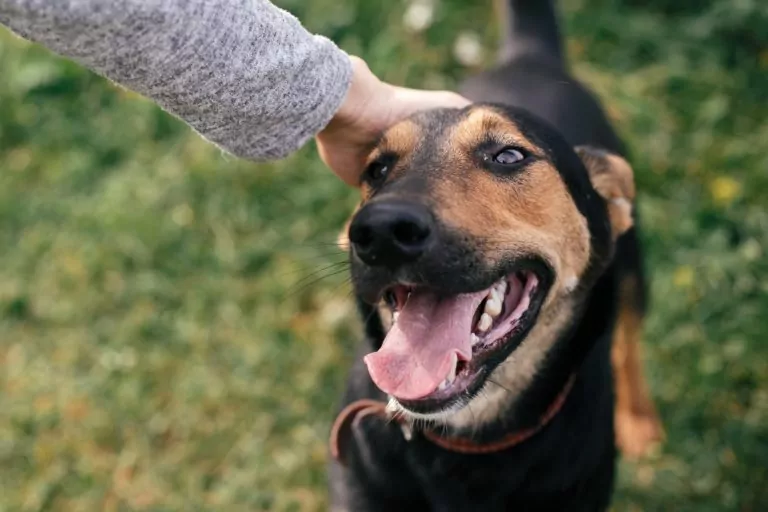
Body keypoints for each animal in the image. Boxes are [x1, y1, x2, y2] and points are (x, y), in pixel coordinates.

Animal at [328, 2, 664, 510]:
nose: (381, 230)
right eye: (377, 169)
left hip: (631, 273)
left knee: (629, 340)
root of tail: (527, 56)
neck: (468, 443)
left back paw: (640, 420)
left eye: (508, 156)